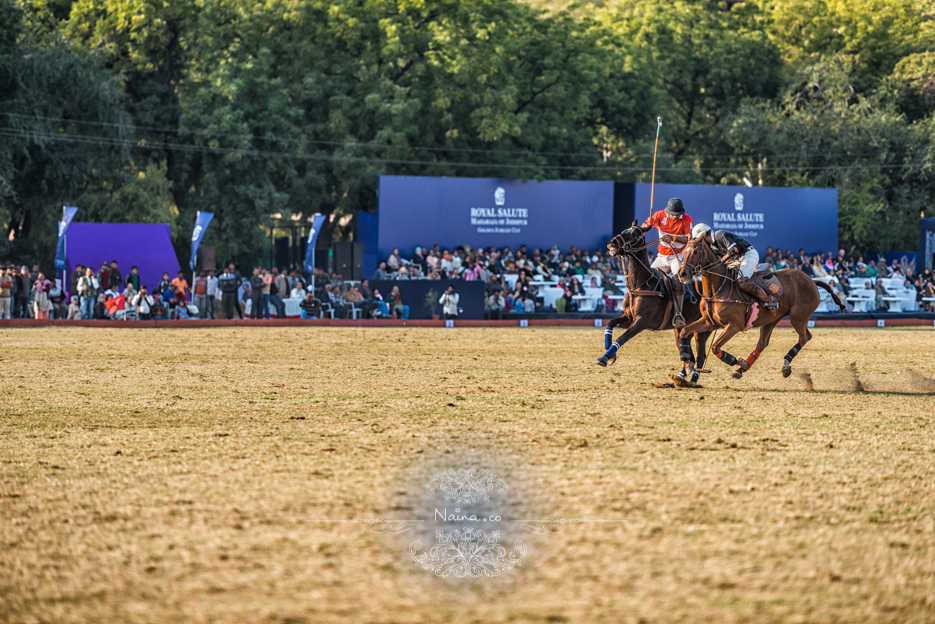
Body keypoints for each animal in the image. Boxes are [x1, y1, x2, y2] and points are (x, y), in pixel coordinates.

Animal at [596, 223, 712, 380]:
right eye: (624, 230)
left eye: (634, 234)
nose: (611, 242)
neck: (639, 285)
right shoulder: (629, 317)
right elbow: (610, 323)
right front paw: (610, 354)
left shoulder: (642, 321)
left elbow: (622, 337)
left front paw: (604, 358)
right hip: (681, 329)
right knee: (690, 357)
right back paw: (681, 375)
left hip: (703, 329)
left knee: (699, 358)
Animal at [672, 235, 848, 378]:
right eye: (684, 251)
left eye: (695, 252)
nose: (682, 274)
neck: (718, 287)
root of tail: (812, 280)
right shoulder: (711, 322)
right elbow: (684, 331)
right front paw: (688, 365)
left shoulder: (734, 325)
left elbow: (715, 347)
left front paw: (737, 361)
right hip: (771, 319)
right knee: (763, 343)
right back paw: (741, 370)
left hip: (798, 317)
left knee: (805, 337)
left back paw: (784, 364)